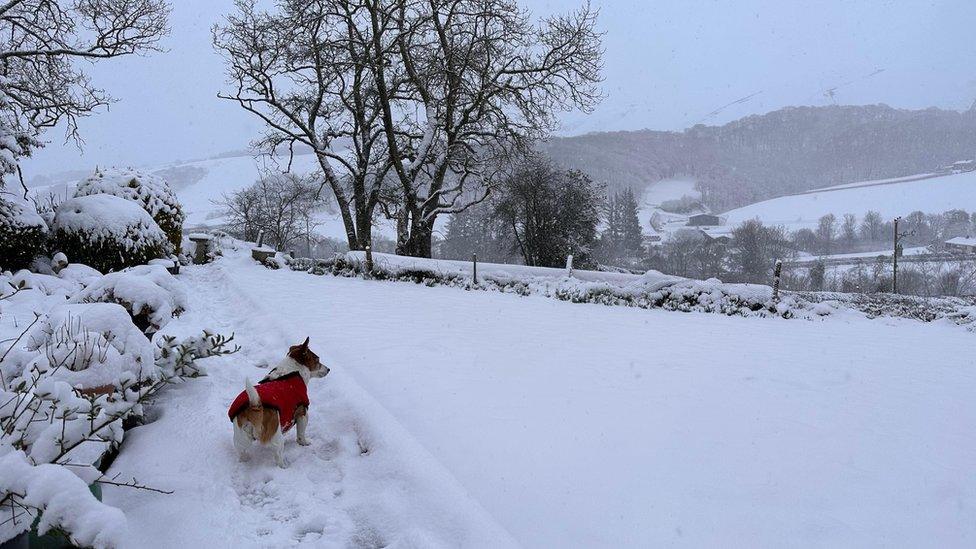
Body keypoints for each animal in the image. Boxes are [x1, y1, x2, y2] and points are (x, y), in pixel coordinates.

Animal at [227, 336, 330, 464]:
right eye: (317, 360)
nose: (329, 369)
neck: (292, 371)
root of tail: (254, 406)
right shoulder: (303, 414)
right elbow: (301, 434)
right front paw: (304, 443)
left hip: (240, 440)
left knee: (242, 453)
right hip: (277, 438)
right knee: (278, 457)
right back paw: (284, 465)